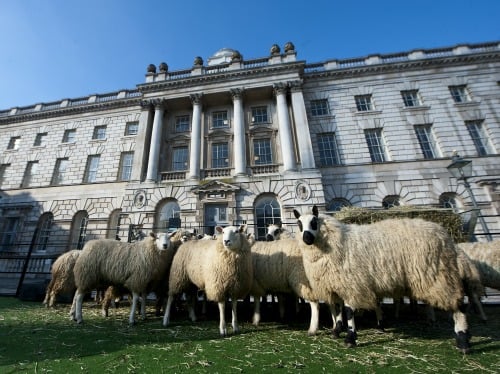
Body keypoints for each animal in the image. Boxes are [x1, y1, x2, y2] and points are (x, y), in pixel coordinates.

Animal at [292, 205, 472, 354]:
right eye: (299, 224)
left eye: (314, 222)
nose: (306, 239)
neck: (335, 242)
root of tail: (444, 235)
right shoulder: (336, 284)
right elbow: (337, 309)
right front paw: (337, 330)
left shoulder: (352, 283)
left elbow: (349, 311)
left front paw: (350, 338)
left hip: (438, 276)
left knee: (459, 306)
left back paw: (463, 341)